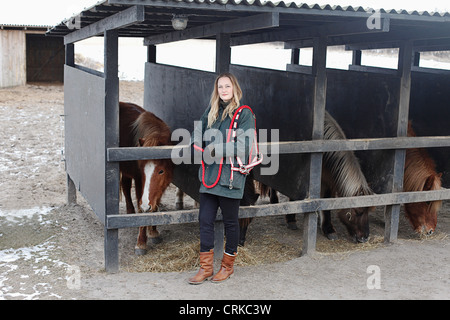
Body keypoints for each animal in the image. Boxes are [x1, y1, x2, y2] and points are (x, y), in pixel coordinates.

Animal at [119, 102, 174, 255]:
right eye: (141, 170)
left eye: (161, 171)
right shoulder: (139, 181)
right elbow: (141, 208)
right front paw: (141, 243)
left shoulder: (160, 187)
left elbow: (154, 206)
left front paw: (154, 232)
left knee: (125, 185)